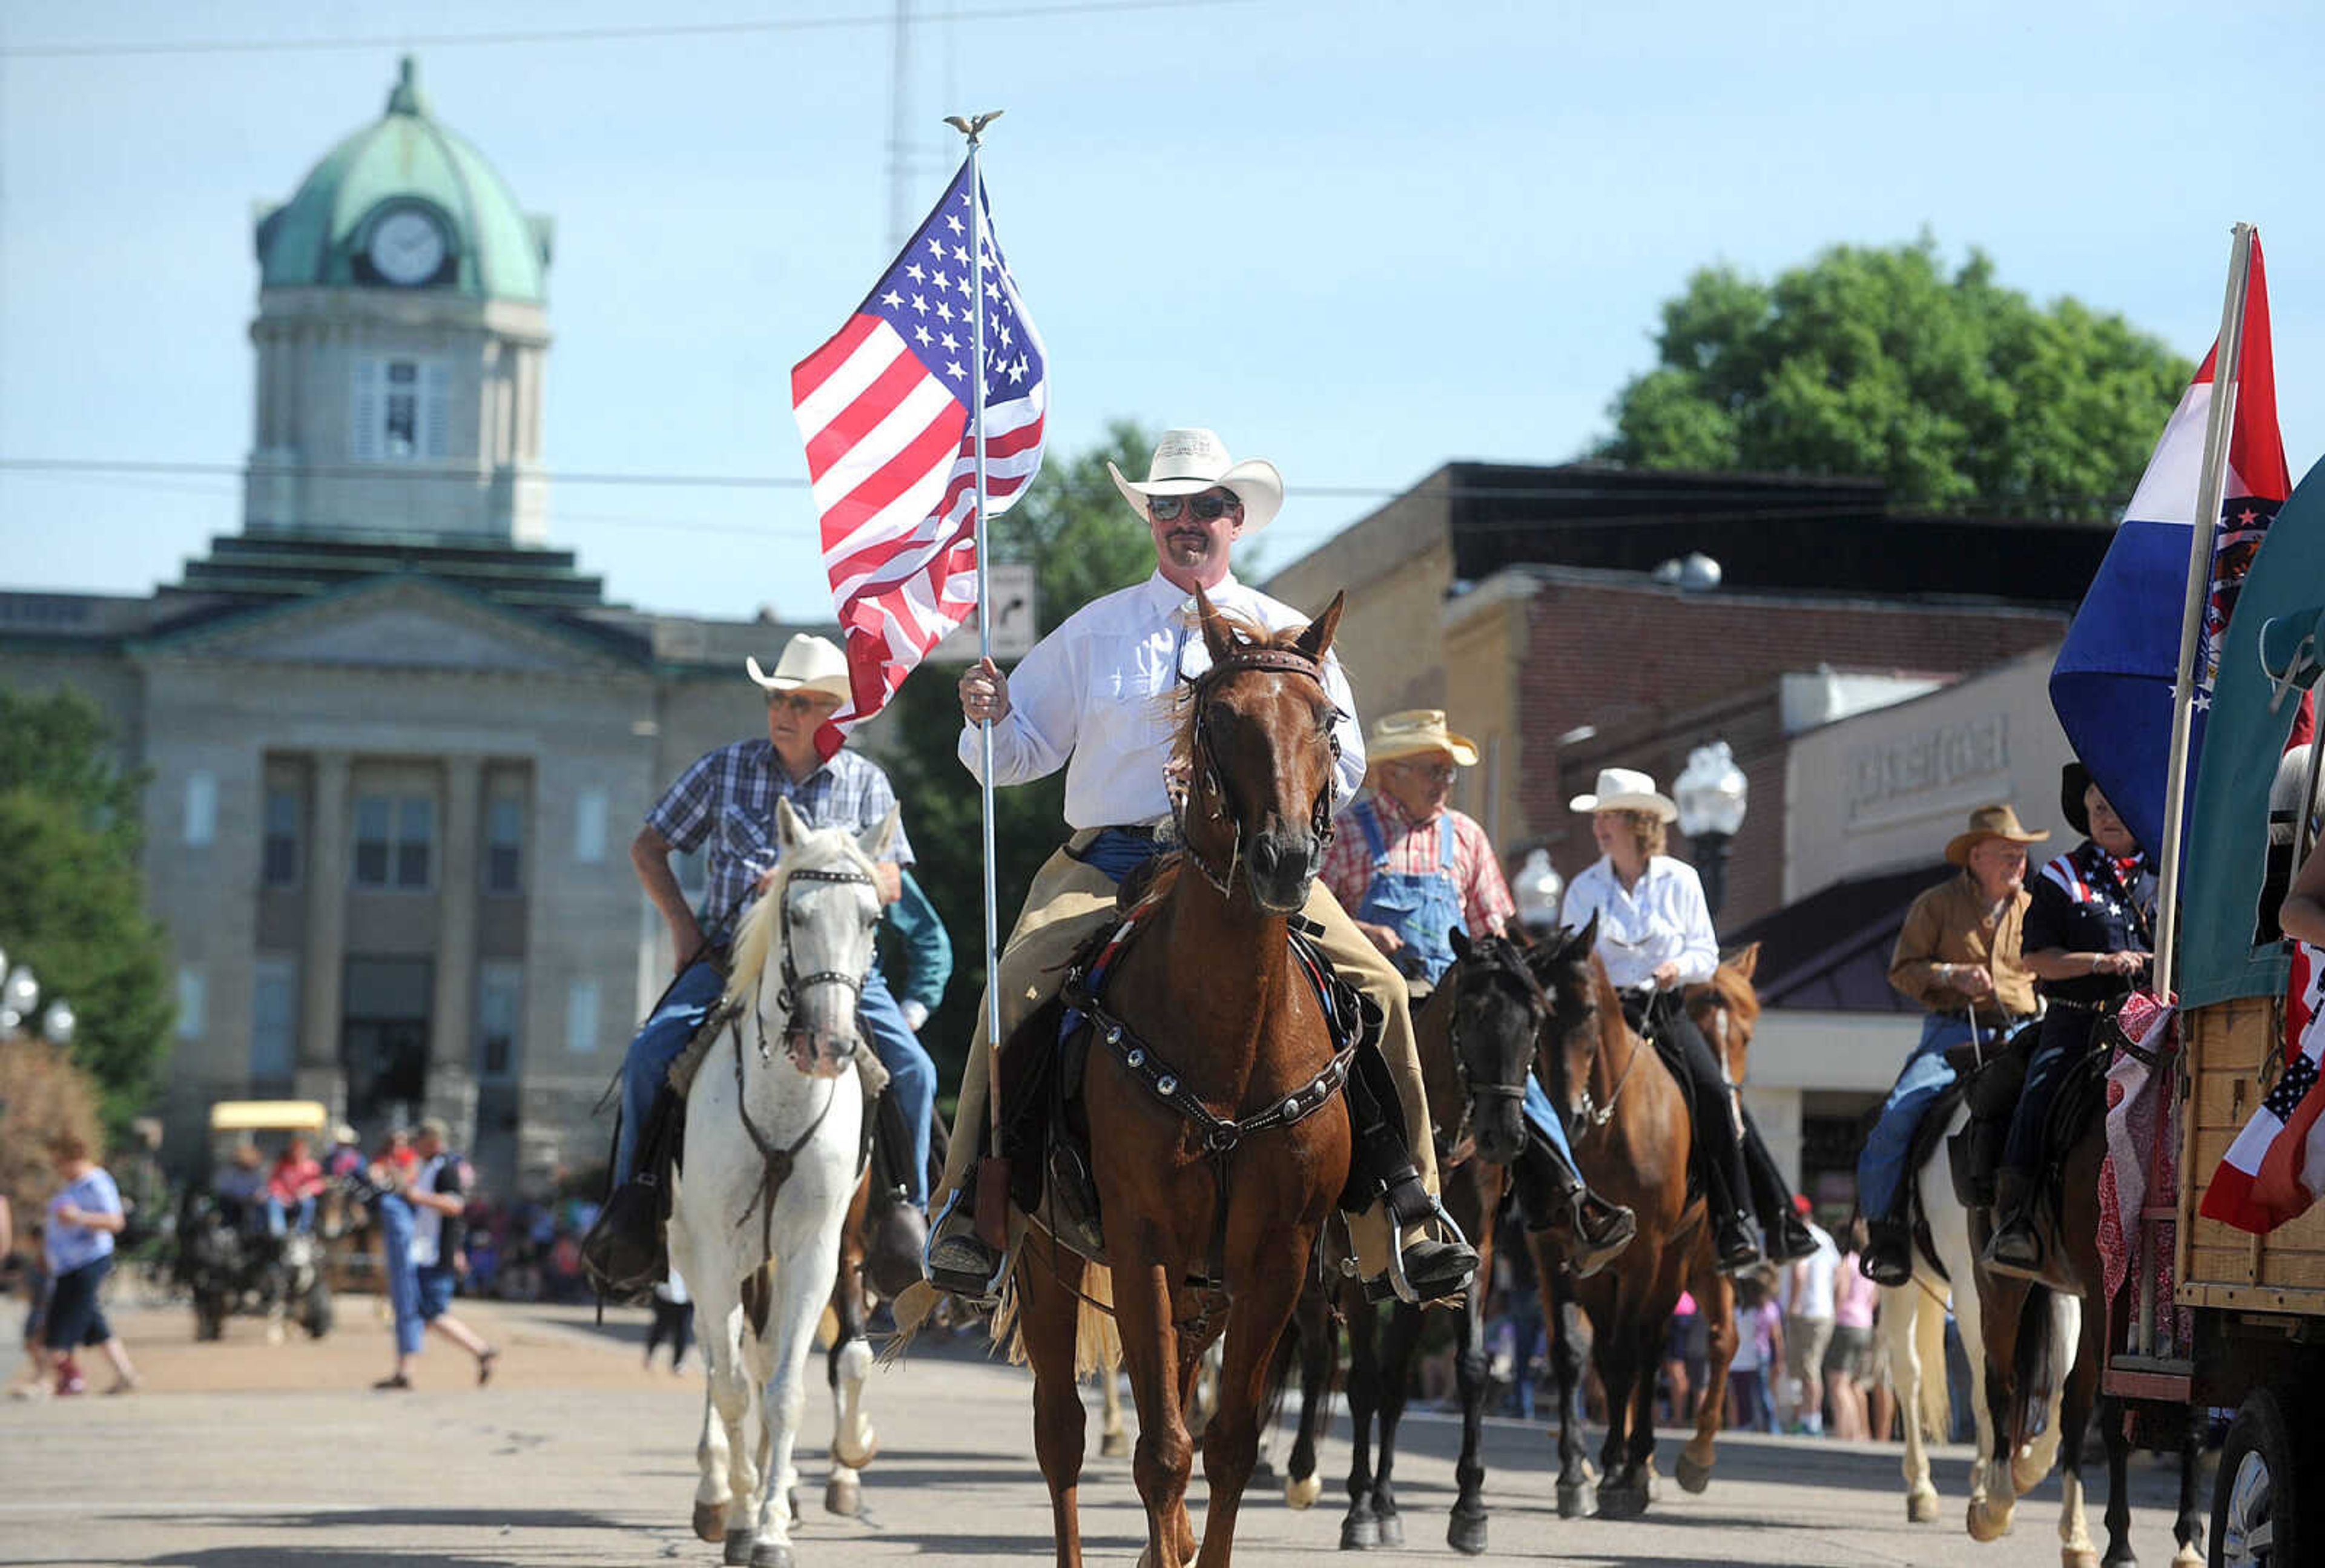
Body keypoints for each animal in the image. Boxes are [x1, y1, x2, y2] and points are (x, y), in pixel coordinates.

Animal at [674, 800, 897, 1563]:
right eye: (794, 913)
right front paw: (742, 1516)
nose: (828, 1044)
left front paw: (774, 1523)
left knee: (769, 1358)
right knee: (718, 1360)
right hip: (699, 1253)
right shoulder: (717, 1254)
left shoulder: (818, 1252)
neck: (781, 1102)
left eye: (872, 919)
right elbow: (732, 1388)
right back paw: (717, 1493)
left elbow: (790, 1387)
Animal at [1009, 588, 1357, 1563]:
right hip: (1051, 1256)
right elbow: (1162, 1452)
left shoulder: (1275, 1256)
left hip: (1208, 1291)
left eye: (1327, 720)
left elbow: (1228, 1447)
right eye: (1223, 718)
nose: (1284, 859)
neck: (1230, 1038)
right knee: (1060, 1434)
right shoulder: (1142, 1243)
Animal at [1525, 921, 1748, 1507]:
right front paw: (1576, 1474)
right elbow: (1574, 1354)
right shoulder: (1553, 1250)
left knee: (1653, 1346)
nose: (1566, 1116)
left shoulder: (1646, 1250)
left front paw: (1616, 1470)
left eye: (1586, 1009)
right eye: (1534, 1014)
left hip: (1676, 1257)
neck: (1605, 1127)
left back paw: (1644, 1463)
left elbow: (1629, 1353)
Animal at [1878, 1098, 2083, 1553]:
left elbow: (2061, 1387)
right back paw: (1925, 1490)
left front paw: (2017, 1474)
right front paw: (1996, 1491)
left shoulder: (2064, 1293)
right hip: (1910, 1286)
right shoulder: (1974, 1289)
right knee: (1910, 1374)